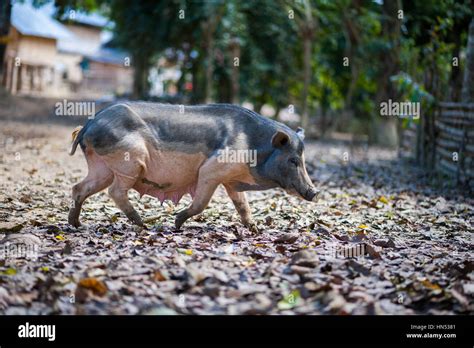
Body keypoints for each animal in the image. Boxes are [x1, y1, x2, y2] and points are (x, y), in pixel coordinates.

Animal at [66, 102, 318, 230]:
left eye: (303, 159)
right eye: (293, 160)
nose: (314, 192)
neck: (253, 147)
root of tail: (89, 123)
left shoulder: (230, 180)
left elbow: (242, 205)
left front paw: (255, 229)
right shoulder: (212, 171)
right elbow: (201, 204)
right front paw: (177, 223)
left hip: (102, 167)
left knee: (79, 188)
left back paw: (76, 224)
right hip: (129, 163)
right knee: (115, 191)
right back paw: (142, 224)